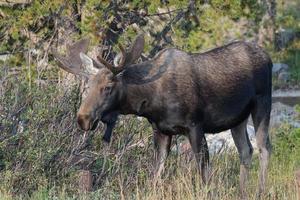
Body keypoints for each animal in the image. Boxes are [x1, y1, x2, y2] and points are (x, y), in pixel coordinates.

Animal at [51, 33, 272, 198]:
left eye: (107, 87)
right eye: (87, 86)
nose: (83, 119)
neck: (151, 100)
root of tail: (268, 57)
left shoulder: (195, 125)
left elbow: (204, 172)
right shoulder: (161, 130)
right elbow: (156, 173)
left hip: (262, 104)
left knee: (264, 147)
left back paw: (261, 192)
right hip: (238, 119)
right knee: (246, 150)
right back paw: (243, 193)